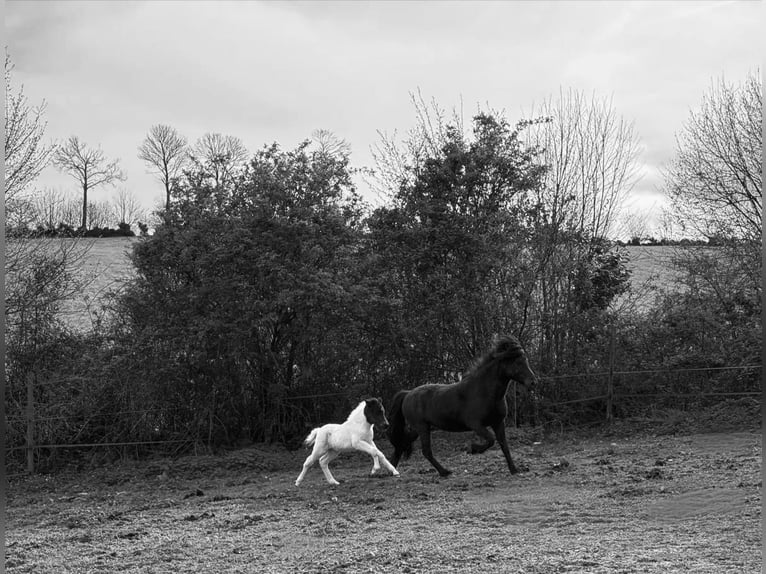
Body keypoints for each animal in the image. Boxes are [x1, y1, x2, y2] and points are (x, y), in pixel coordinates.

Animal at [386, 335, 538, 477]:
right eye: (517, 362)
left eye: (526, 361)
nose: (533, 383)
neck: (484, 392)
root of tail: (408, 394)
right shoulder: (476, 424)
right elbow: (491, 439)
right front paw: (473, 449)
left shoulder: (498, 423)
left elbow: (504, 445)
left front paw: (514, 470)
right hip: (422, 427)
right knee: (426, 451)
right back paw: (444, 472)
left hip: (419, 428)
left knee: (402, 444)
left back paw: (392, 471)